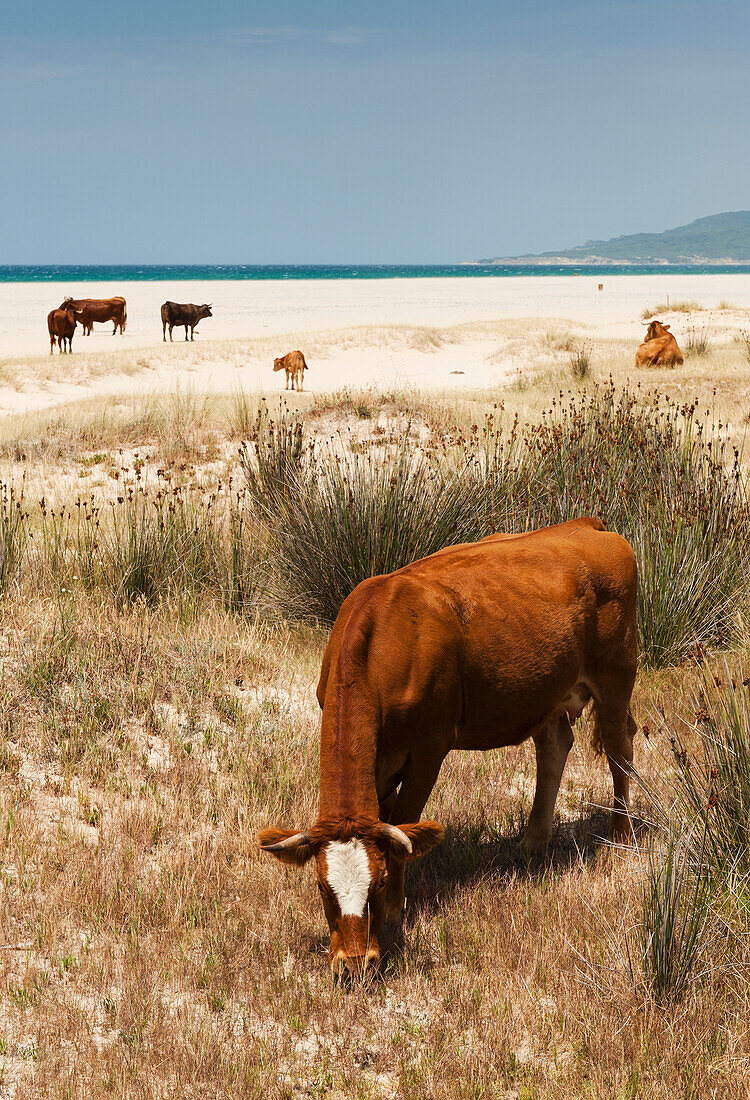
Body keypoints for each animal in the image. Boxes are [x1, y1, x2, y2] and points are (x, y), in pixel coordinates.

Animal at [258, 514, 637, 972]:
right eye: (319, 886)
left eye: (378, 881)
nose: (355, 962)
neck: (382, 643)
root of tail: (587, 524)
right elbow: (388, 815)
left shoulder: (429, 748)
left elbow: (404, 822)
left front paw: (394, 909)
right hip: (548, 692)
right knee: (554, 745)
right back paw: (532, 843)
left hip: (617, 672)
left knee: (619, 748)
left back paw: (621, 834)